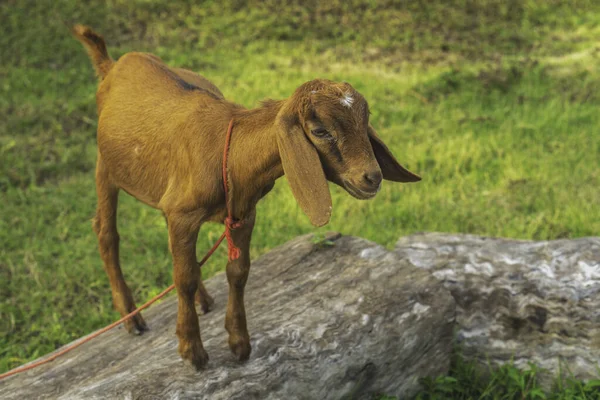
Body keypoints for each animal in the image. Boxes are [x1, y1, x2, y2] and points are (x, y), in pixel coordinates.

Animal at [72, 24, 422, 368]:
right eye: (320, 131)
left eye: (366, 119)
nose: (372, 177)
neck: (230, 152)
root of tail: (112, 65)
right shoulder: (184, 215)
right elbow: (184, 277)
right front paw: (192, 350)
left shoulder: (242, 213)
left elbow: (237, 272)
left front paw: (239, 343)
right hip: (105, 167)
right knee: (106, 233)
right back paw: (132, 318)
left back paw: (202, 299)